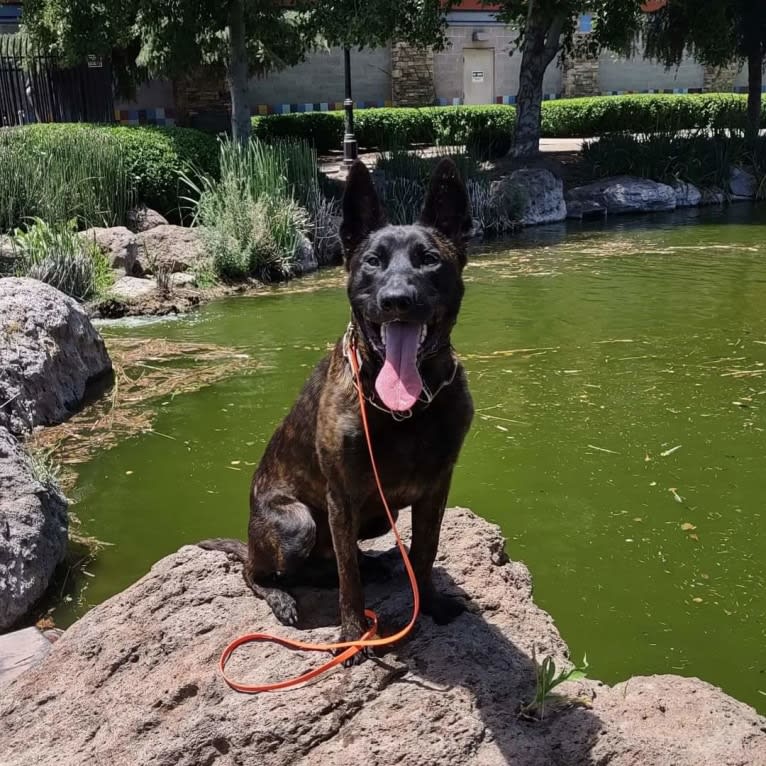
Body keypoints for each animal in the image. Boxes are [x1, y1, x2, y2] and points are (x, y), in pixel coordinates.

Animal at [204, 158, 476, 660]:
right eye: (373, 261)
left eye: (429, 258)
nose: (397, 300)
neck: (406, 408)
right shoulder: (341, 497)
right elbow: (349, 578)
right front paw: (352, 633)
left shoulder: (436, 488)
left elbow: (424, 553)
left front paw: (428, 603)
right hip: (297, 525)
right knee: (259, 571)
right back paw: (282, 596)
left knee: (328, 564)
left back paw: (374, 565)